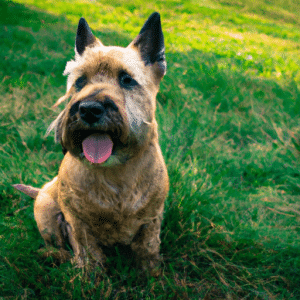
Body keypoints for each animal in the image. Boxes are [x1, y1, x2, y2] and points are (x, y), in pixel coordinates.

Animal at [13, 11, 169, 276]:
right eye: (80, 81)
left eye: (127, 80)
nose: (88, 109)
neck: (116, 171)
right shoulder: (78, 222)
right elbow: (88, 250)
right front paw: (88, 276)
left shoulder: (152, 219)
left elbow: (148, 247)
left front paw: (152, 276)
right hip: (46, 212)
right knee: (55, 242)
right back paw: (54, 256)